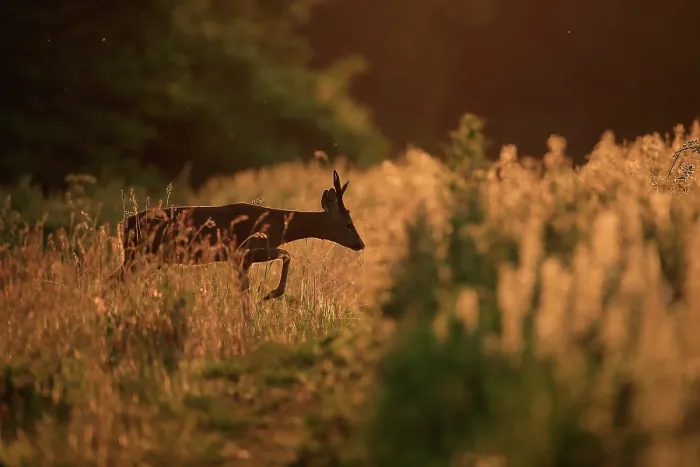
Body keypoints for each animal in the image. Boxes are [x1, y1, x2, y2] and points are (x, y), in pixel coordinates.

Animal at [106, 170, 365, 300]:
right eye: (348, 224)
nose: (361, 244)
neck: (278, 224)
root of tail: (122, 225)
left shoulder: (239, 259)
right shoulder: (244, 252)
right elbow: (287, 254)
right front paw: (271, 294)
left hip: (149, 259)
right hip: (140, 255)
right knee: (114, 281)